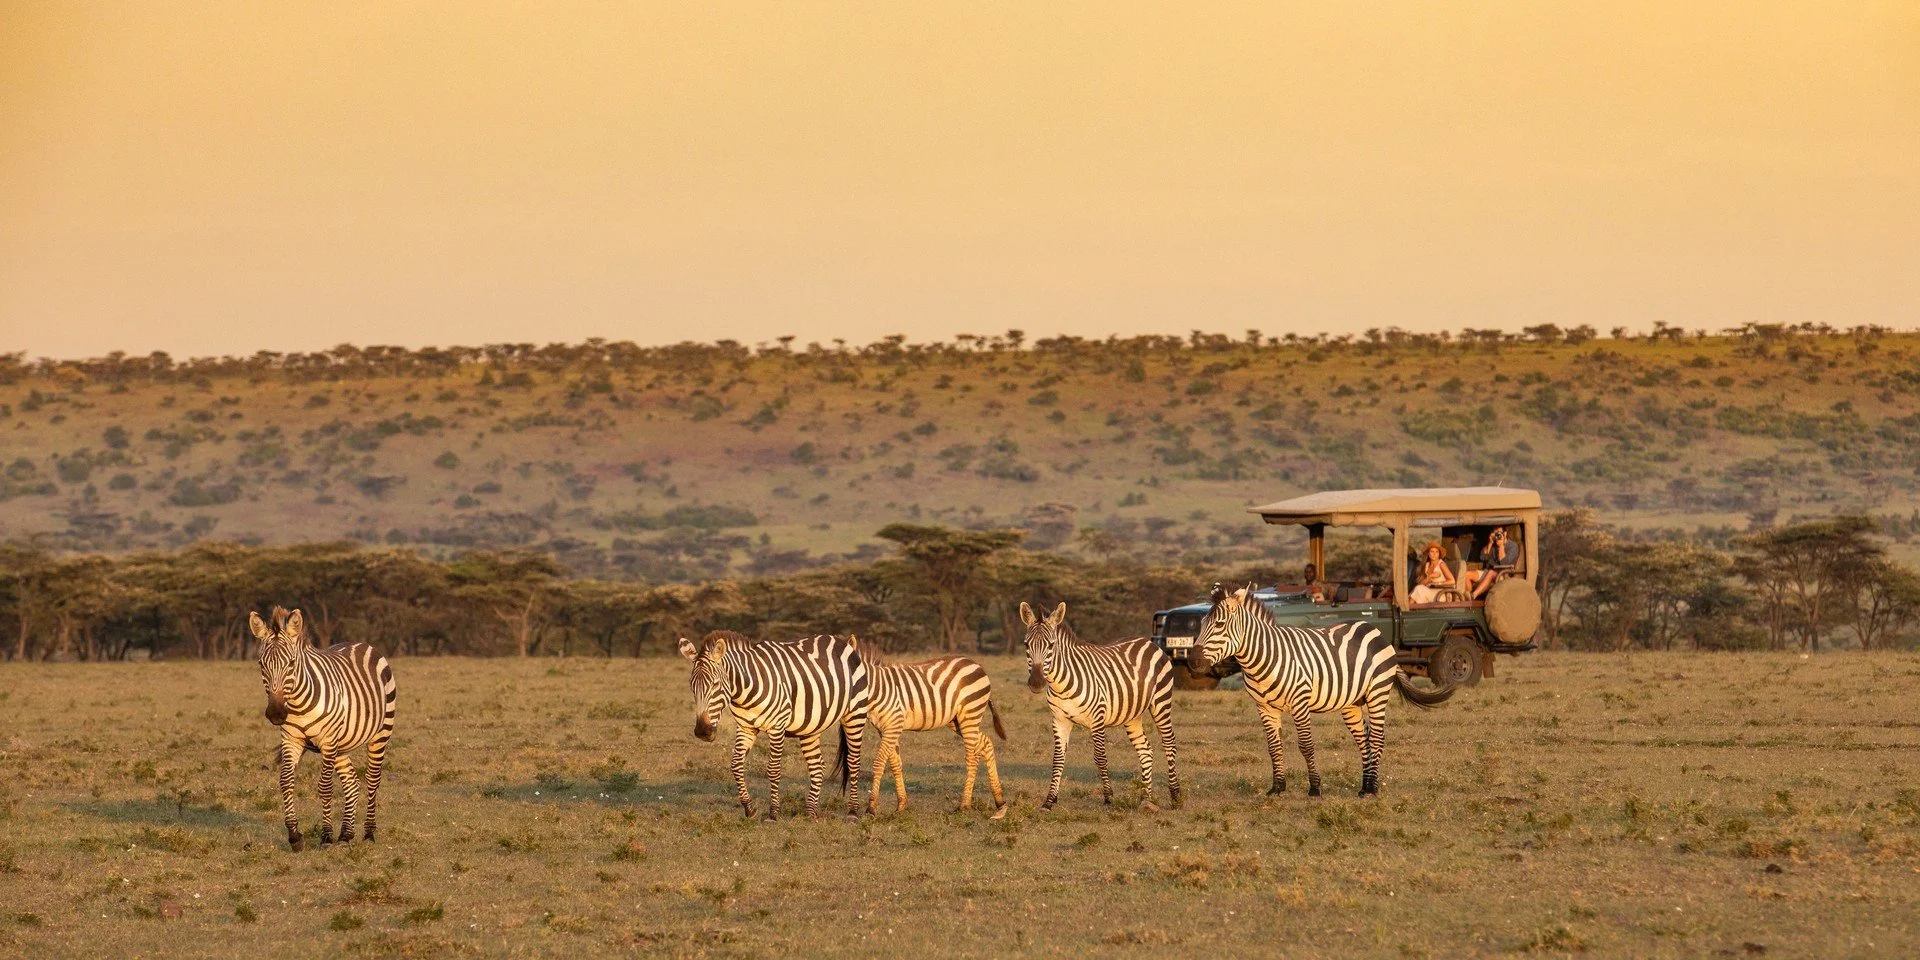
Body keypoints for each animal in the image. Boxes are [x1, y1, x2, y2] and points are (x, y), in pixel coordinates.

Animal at [250, 607, 397, 851]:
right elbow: (286, 782)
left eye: (291, 663)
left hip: (380, 732)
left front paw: (326, 836)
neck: (298, 703)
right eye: (262, 664)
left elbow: (325, 787)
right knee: (351, 782)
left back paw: (368, 833)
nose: (276, 714)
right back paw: (346, 834)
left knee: (373, 779)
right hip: (341, 744)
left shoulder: (328, 740)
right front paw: (295, 836)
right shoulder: (291, 740)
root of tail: (360, 643)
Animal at [678, 630, 869, 820]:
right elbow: (736, 765)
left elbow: (774, 770)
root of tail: (843, 641)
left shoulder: (777, 727)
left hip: (855, 714)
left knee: (853, 762)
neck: (745, 689)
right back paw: (810, 812)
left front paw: (773, 813)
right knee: (817, 766)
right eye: (692, 687)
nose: (702, 731)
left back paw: (853, 812)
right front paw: (749, 808)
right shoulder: (746, 728)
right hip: (810, 726)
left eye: (715, 684)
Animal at [855, 641, 1008, 818]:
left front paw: (871, 807)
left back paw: (964, 805)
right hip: (957, 721)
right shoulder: (884, 729)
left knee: (972, 758)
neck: (878, 689)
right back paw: (999, 801)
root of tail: (976, 663)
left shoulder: (893, 725)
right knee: (986, 743)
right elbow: (895, 763)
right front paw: (901, 805)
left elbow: (879, 763)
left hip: (970, 713)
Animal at [1019, 601, 1182, 811]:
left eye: (1051, 645)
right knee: (1145, 750)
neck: (1061, 684)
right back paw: (1146, 798)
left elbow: (1100, 757)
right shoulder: (1060, 720)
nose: (1036, 683)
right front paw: (1049, 801)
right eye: (1026, 645)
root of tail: (1147, 641)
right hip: (1132, 714)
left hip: (1161, 702)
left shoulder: (1097, 717)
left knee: (1169, 743)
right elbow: (1057, 760)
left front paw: (1108, 797)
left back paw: (1175, 796)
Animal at [1189, 584, 1452, 797]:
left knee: (1377, 738)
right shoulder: (1264, 707)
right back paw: (1364, 786)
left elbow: (1306, 745)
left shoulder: (1300, 702)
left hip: (1377, 692)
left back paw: (1372, 789)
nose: (1192, 662)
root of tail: (1372, 629)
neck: (1262, 658)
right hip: (1351, 703)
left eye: (1219, 624)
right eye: (1201, 625)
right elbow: (1273, 747)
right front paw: (1277, 788)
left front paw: (1315, 788)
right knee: (1364, 739)